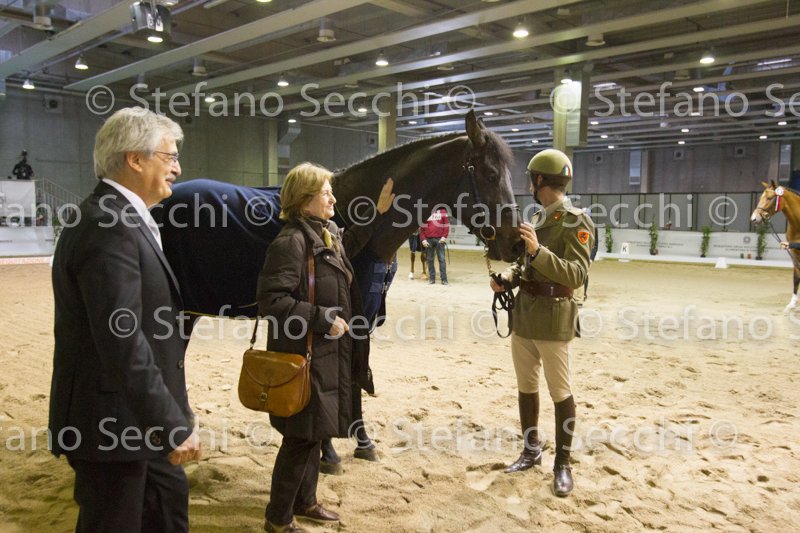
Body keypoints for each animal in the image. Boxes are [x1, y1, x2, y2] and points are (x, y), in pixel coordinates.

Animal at [156, 110, 522, 461]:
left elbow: (356, 374)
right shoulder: (345, 314)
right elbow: (348, 373)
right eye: (491, 174)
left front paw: (352, 444)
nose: (517, 242)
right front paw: (334, 448)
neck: (354, 212)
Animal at [750, 180, 800, 310]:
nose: (753, 219)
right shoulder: (794, 253)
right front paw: (792, 304)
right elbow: (796, 278)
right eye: (760, 198)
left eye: (769, 198)